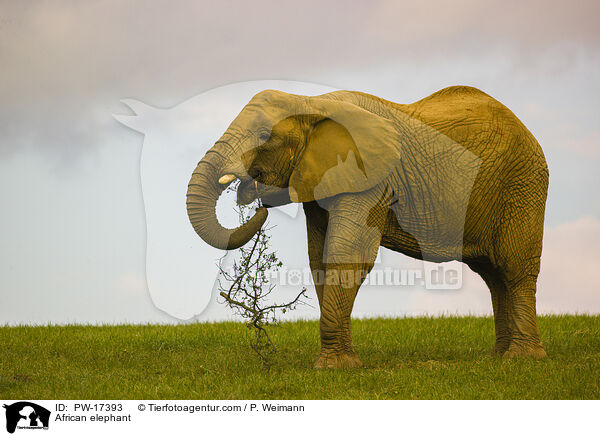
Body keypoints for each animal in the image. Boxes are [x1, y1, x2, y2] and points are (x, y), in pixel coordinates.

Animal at [188, 87, 548, 370]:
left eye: (264, 136)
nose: (257, 205)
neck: (311, 101)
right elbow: (319, 258)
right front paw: (346, 363)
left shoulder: (370, 178)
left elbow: (348, 253)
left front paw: (333, 368)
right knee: (493, 275)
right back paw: (498, 357)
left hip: (523, 183)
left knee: (514, 268)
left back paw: (522, 359)